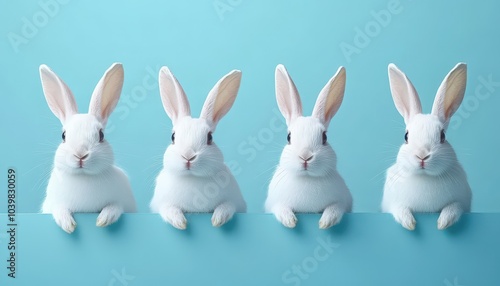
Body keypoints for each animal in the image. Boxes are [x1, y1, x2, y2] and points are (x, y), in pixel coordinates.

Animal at [39, 62, 137, 232]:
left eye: (101, 135)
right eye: (63, 136)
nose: (80, 155)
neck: (83, 177)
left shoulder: (124, 203)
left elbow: (115, 206)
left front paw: (104, 219)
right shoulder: (52, 204)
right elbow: (59, 209)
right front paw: (68, 224)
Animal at [150, 66, 248, 229]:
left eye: (210, 138)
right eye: (173, 137)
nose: (188, 156)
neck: (192, 178)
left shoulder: (235, 202)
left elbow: (227, 206)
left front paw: (218, 219)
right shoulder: (161, 204)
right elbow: (169, 209)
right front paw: (179, 222)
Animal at [266, 63, 352, 229]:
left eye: (324, 137)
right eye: (289, 137)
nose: (305, 156)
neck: (307, 178)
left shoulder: (342, 202)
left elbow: (335, 208)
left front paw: (326, 222)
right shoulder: (275, 203)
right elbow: (281, 208)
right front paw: (290, 221)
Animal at [382, 62, 472, 230]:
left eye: (443, 136)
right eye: (406, 136)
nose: (422, 155)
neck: (425, 177)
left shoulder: (462, 203)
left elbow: (454, 207)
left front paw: (443, 222)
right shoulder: (392, 203)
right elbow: (399, 208)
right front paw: (409, 222)